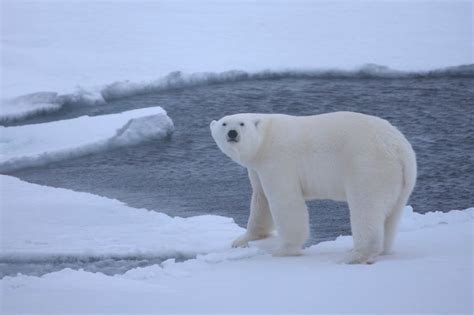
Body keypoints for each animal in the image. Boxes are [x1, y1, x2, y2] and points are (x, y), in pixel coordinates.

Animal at [210, 111, 414, 264]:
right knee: (392, 215)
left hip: (368, 165)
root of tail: (400, 148)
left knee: (366, 207)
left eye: (241, 124)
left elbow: (285, 200)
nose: (233, 133)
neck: (265, 140)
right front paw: (243, 240)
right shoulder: (257, 168)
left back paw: (356, 255)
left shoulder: (278, 159)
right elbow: (261, 199)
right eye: (224, 124)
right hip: (401, 180)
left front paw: (285, 250)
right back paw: (382, 249)